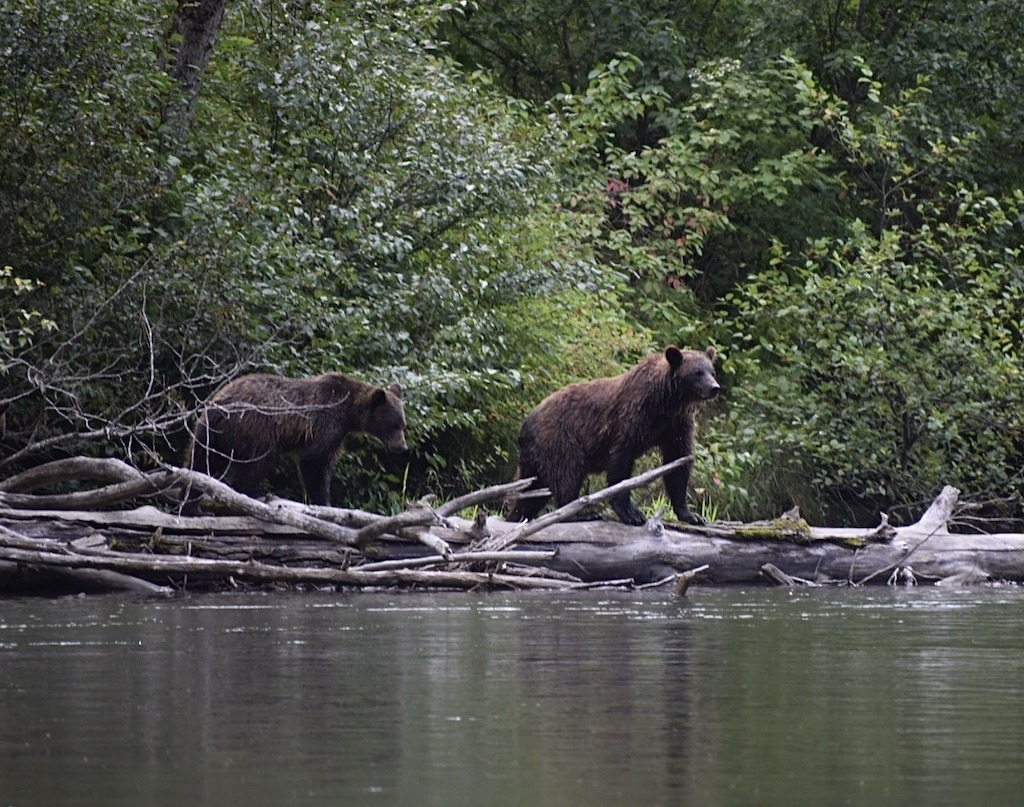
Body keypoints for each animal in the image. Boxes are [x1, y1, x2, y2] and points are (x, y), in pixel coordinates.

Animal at [184, 372, 407, 510]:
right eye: (393, 424)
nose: (402, 447)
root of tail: (217, 407)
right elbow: (315, 462)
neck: (349, 412)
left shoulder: (339, 431)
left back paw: (193, 506)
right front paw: (323, 501)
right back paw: (246, 494)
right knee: (256, 464)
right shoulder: (327, 421)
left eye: (403, 424)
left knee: (201, 463)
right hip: (254, 428)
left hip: (211, 434)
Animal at [505, 348, 716, 528]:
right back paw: (581, 513)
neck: (668, 402)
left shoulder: (676, 426)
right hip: (558, 438)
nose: (715, 387)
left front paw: (692, 515)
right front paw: (632, 513)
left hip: (534, 461)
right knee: (568, 471)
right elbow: (621, 461)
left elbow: (678, 462)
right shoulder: (632, 417)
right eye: (698, 372)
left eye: (711, 371)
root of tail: (524, 427)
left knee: (531, 494)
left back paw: (517, 517)